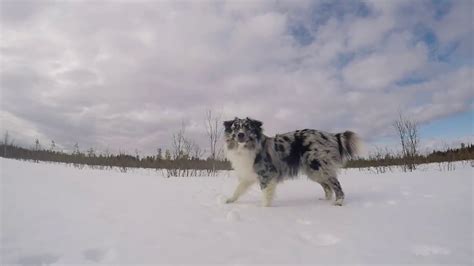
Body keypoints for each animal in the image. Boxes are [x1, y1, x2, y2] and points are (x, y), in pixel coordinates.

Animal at [224, 117, 362, 207]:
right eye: (235, 127)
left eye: (248, 127)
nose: (240, 135)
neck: (246, 148)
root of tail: (330, 135)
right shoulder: (248, 174)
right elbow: (238, 189)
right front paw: (230, 200)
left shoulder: (267, 174)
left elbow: (265, 194)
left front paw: (265, 209)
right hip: (314, 171)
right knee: (327, 187)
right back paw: (325, 201)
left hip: (319, 166)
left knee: (336, 184)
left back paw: (338, 202)